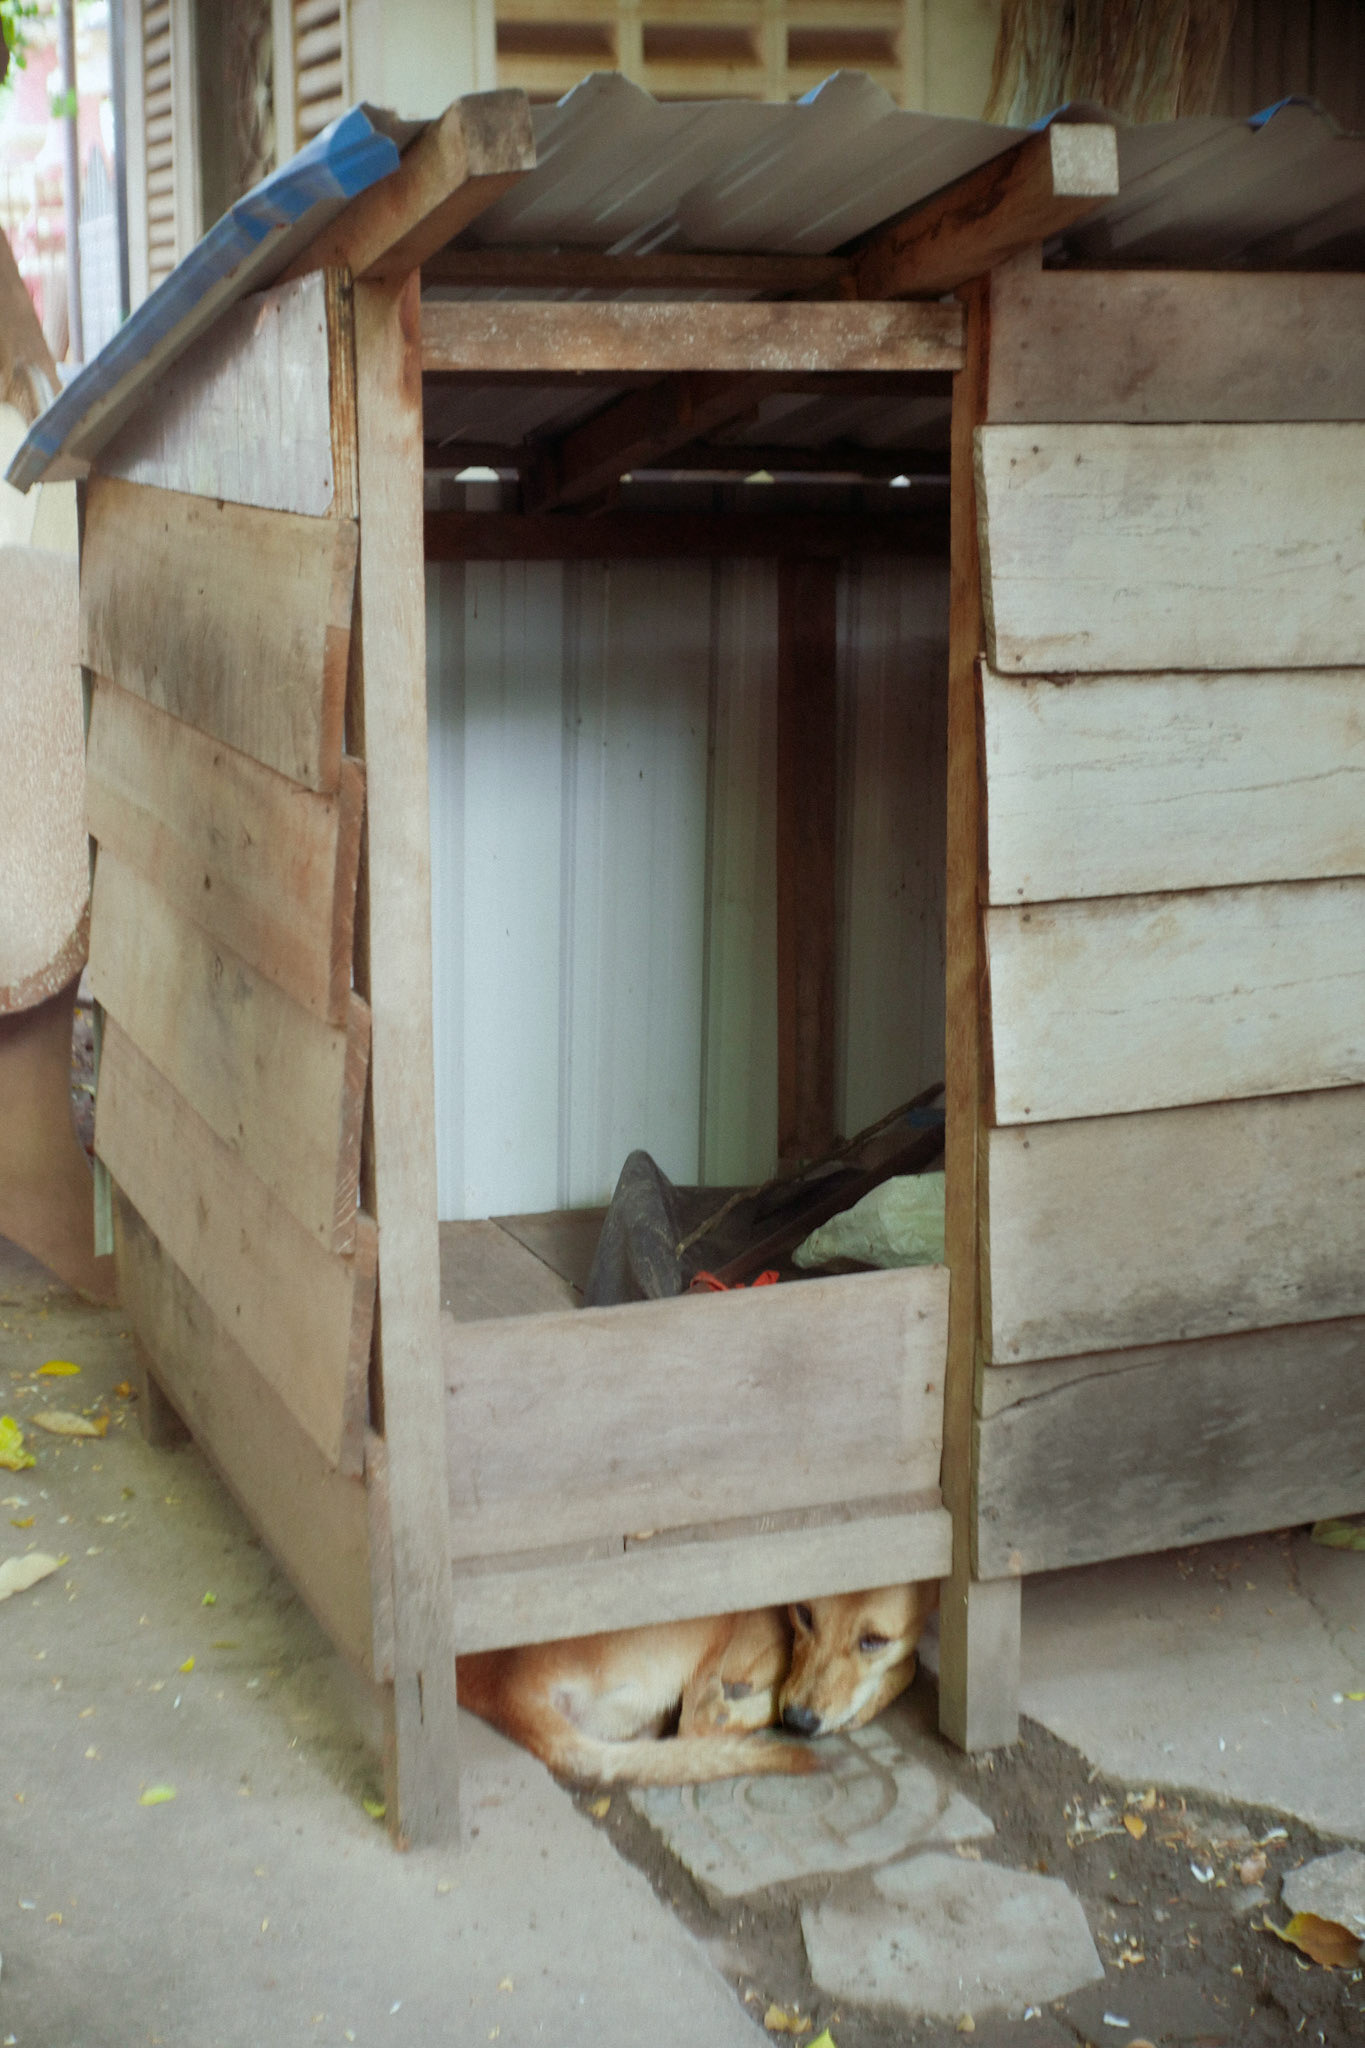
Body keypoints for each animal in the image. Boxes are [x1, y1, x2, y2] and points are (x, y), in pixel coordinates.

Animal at [456, 1582, 937, 1787]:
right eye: (804, 1613)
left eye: (874, 1640)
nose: (799, 1720)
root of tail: (504, 1689)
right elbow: (908, 1666)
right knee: (699, 1721)